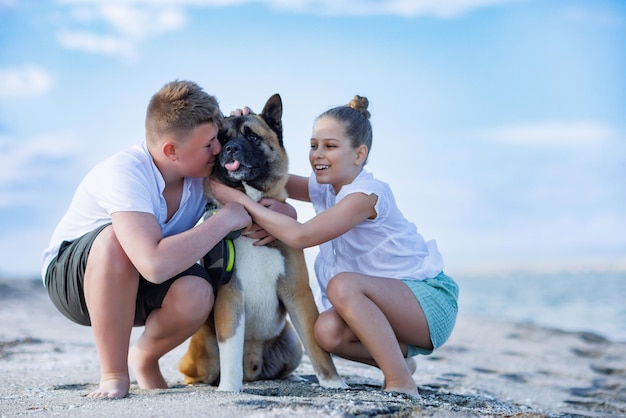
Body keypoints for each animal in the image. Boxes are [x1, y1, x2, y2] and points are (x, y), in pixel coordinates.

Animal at [178, 92, 346, 392]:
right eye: (221, 138)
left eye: (252, 136)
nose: (230, 148)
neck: (253, 211)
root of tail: (252, 372)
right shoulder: (230, 295)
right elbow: (230, 346)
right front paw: (229, 388)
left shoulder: (297, 293)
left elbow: (317, 344)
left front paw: (333, 381)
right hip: (203, 350)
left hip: (291, 343)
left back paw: (293, 376)